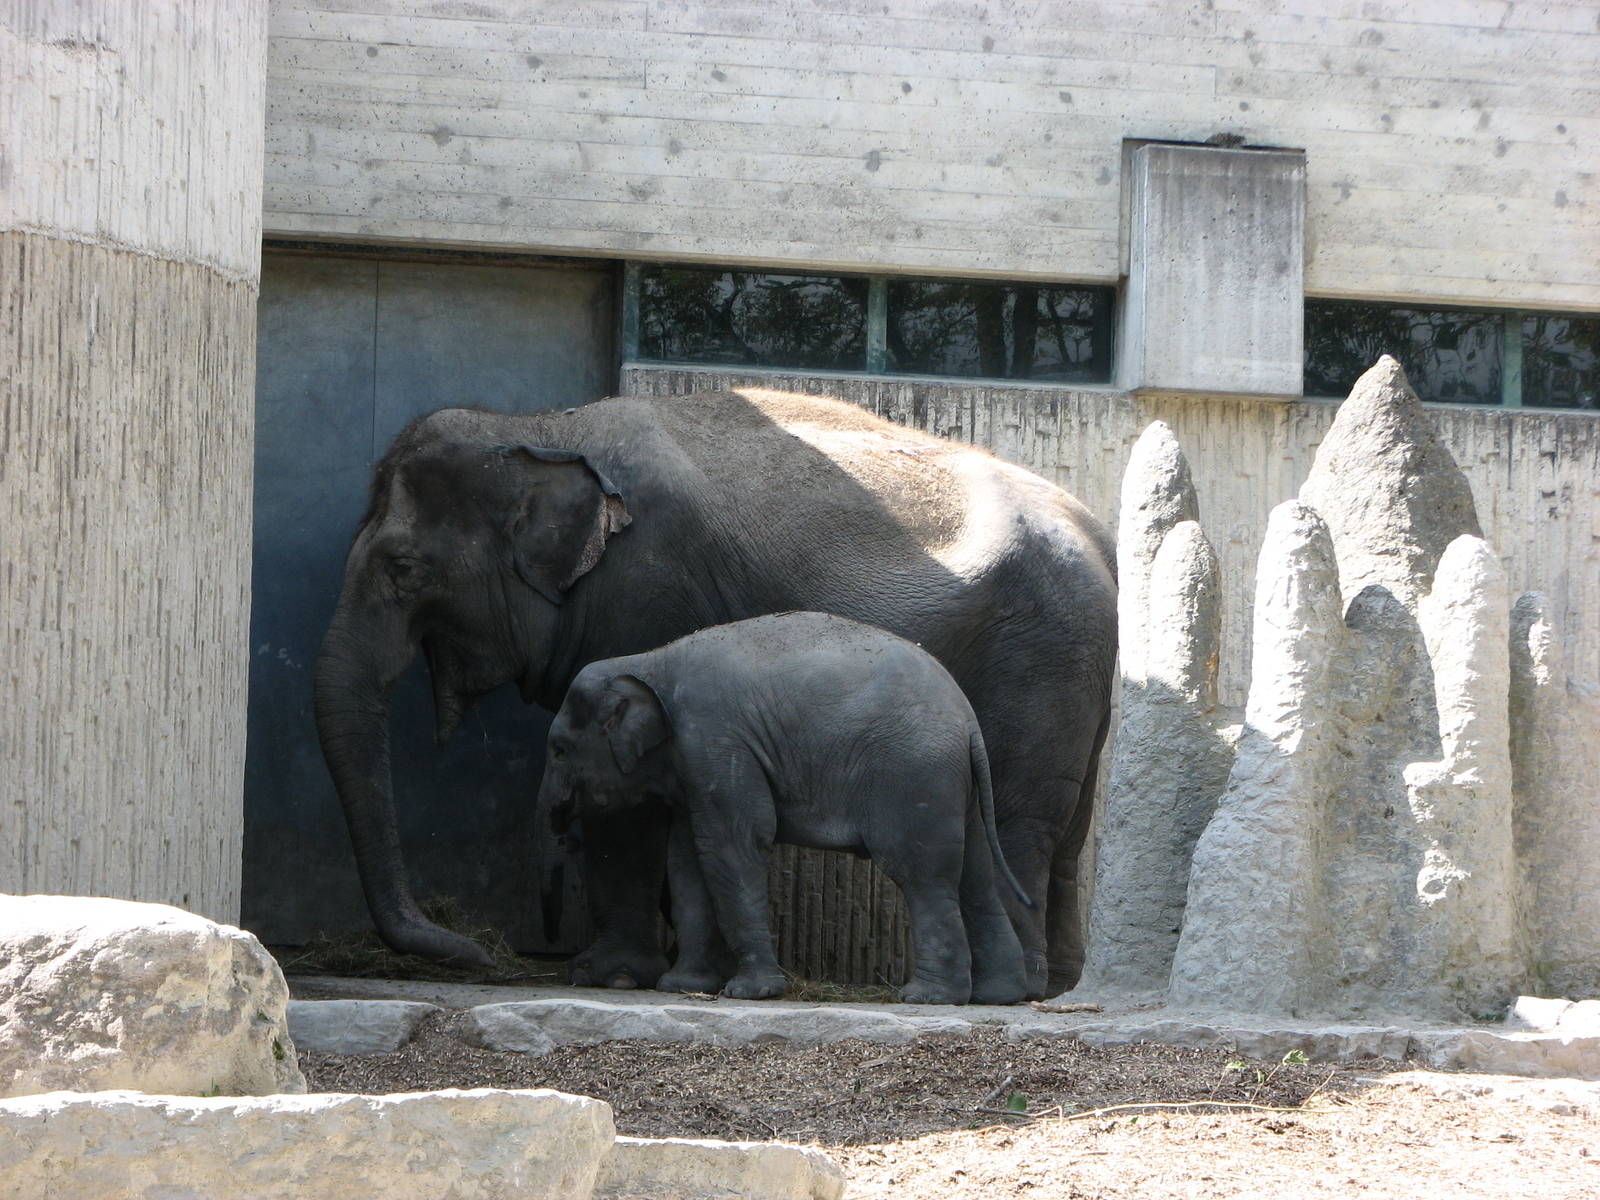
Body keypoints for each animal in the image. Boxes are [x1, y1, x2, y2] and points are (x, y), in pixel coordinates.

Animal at [538, 611, 1032, 1005]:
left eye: (559, 749)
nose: (557, 821)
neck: (647, 661)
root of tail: (967, 720)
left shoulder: (715, 737)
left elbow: (734, 846)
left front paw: (748, 993)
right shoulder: (692, 768)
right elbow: (686, 863)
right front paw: (681, 986)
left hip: (914, 775)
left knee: (922, 874)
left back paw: (926, 998)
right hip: (954, 787)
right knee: (976, 876)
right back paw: (999, 996)